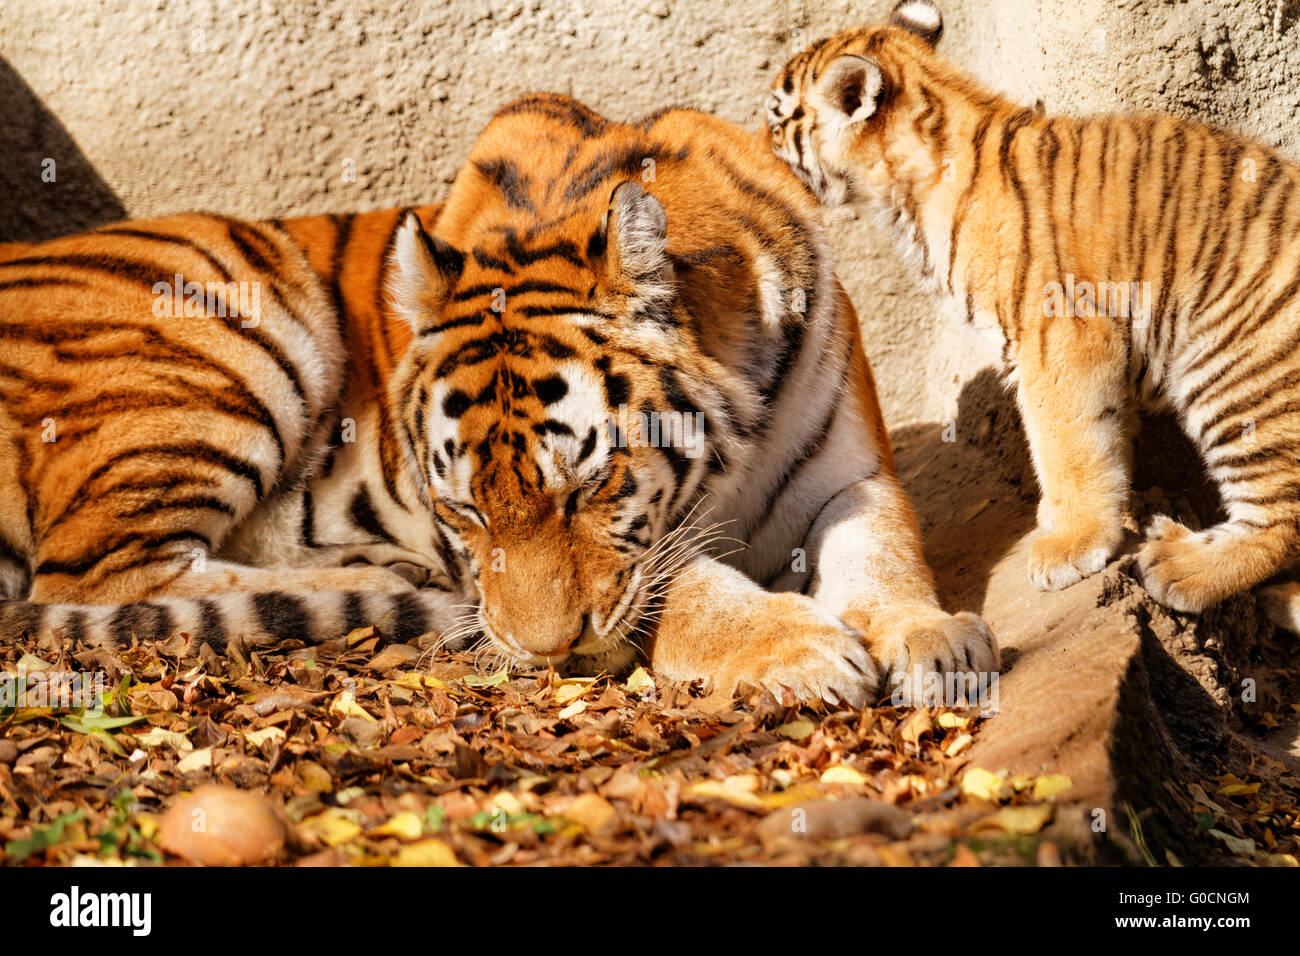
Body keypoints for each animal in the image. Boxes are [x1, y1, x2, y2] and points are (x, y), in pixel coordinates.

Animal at [0, 93, 997, 704]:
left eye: (591, 487)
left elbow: (885, 551)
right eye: (465, 513)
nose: (543, 654)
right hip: (223, 327)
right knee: (100, 580)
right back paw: (383, 585)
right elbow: (686, 584)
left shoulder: (851, 472)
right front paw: (802, 650)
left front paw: (934, 642)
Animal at [766, 0, 1300, 630]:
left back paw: (1179, 566)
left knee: (1281, 518)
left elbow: (1064, 441)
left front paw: (1070, 544)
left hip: (1240, 372)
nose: (757, 144)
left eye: (778, 119)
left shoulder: (1061, 335)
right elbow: (1095, 439)